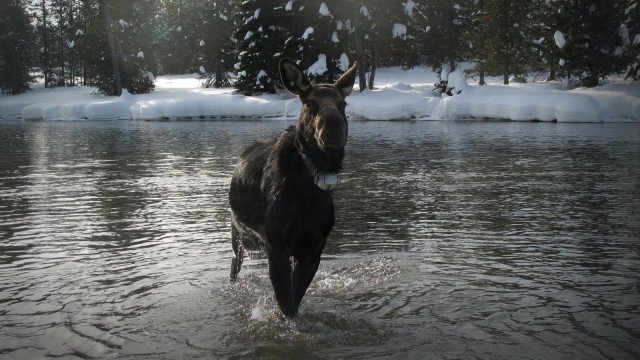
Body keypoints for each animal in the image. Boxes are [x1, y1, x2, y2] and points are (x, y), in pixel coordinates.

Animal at [229, 59, 358, 320]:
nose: (333, 127)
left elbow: (294, 304)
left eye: (343, 103)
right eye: (309, 103)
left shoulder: (312, 250)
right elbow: (286, 307)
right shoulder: (276, 246)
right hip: (241, 237)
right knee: (233, 266)